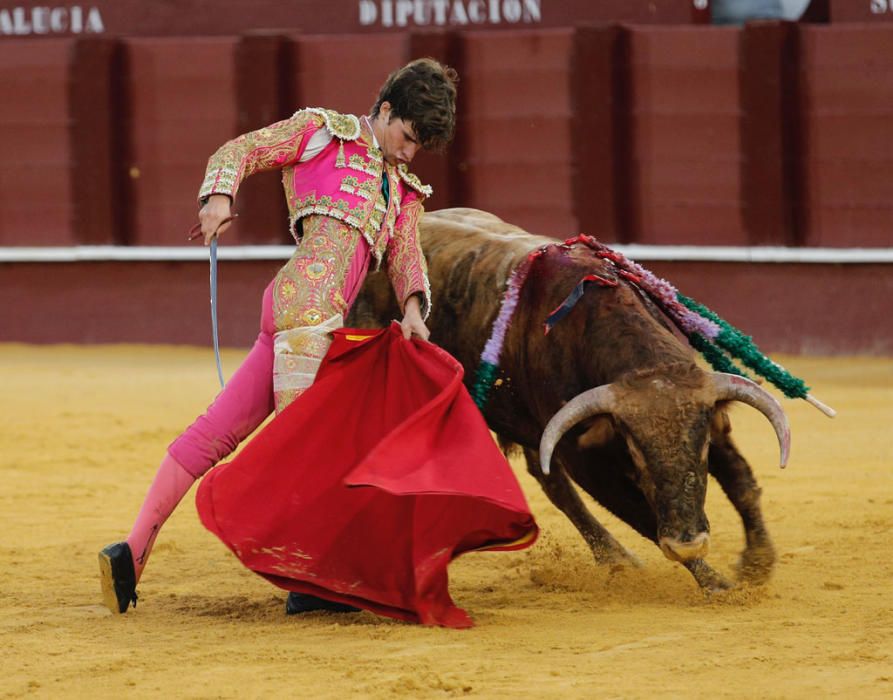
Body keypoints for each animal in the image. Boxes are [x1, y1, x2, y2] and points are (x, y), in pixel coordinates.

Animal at [352, 208, 792, 592]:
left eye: (699, 448)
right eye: (635, 453)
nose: (687, 541)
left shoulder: (706, 413)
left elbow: (741, 482)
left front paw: (757, 563)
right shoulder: (581, 454)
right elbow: (639, 513)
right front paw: (718, 584)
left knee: (548, 481)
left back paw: (617, 560)